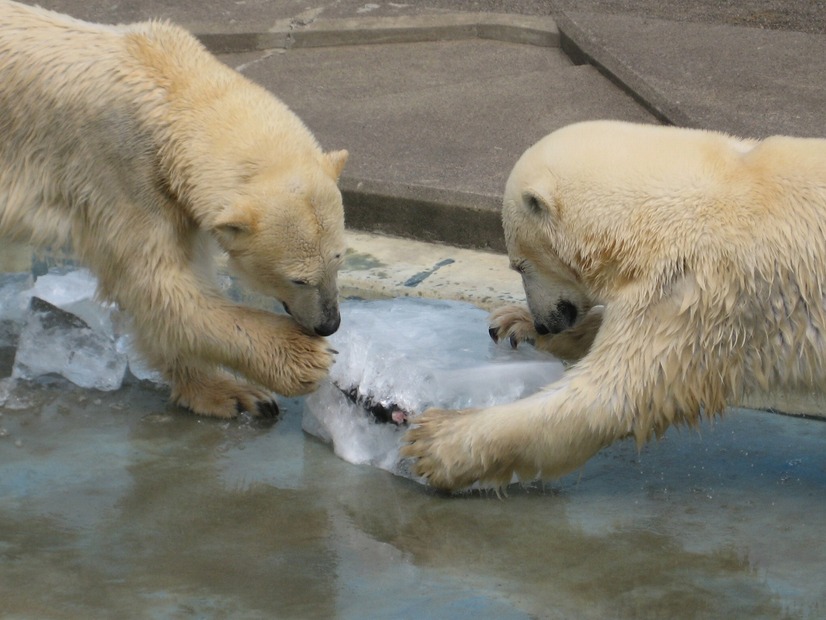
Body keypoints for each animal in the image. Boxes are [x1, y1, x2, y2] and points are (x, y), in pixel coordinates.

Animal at [0, 1, 348, 416]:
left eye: (339, 259)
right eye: (298, 279)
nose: (329, 324)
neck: (171, 82)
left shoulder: (172, 195)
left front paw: (227, 392)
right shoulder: (121, 171)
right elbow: (157, 284)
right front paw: (300, 360)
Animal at [402, 118, 824, 492]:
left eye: (519, 265)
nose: (544, 322)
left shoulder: (703, 291)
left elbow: (615, 393)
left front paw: (435, 443)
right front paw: (513, 325)